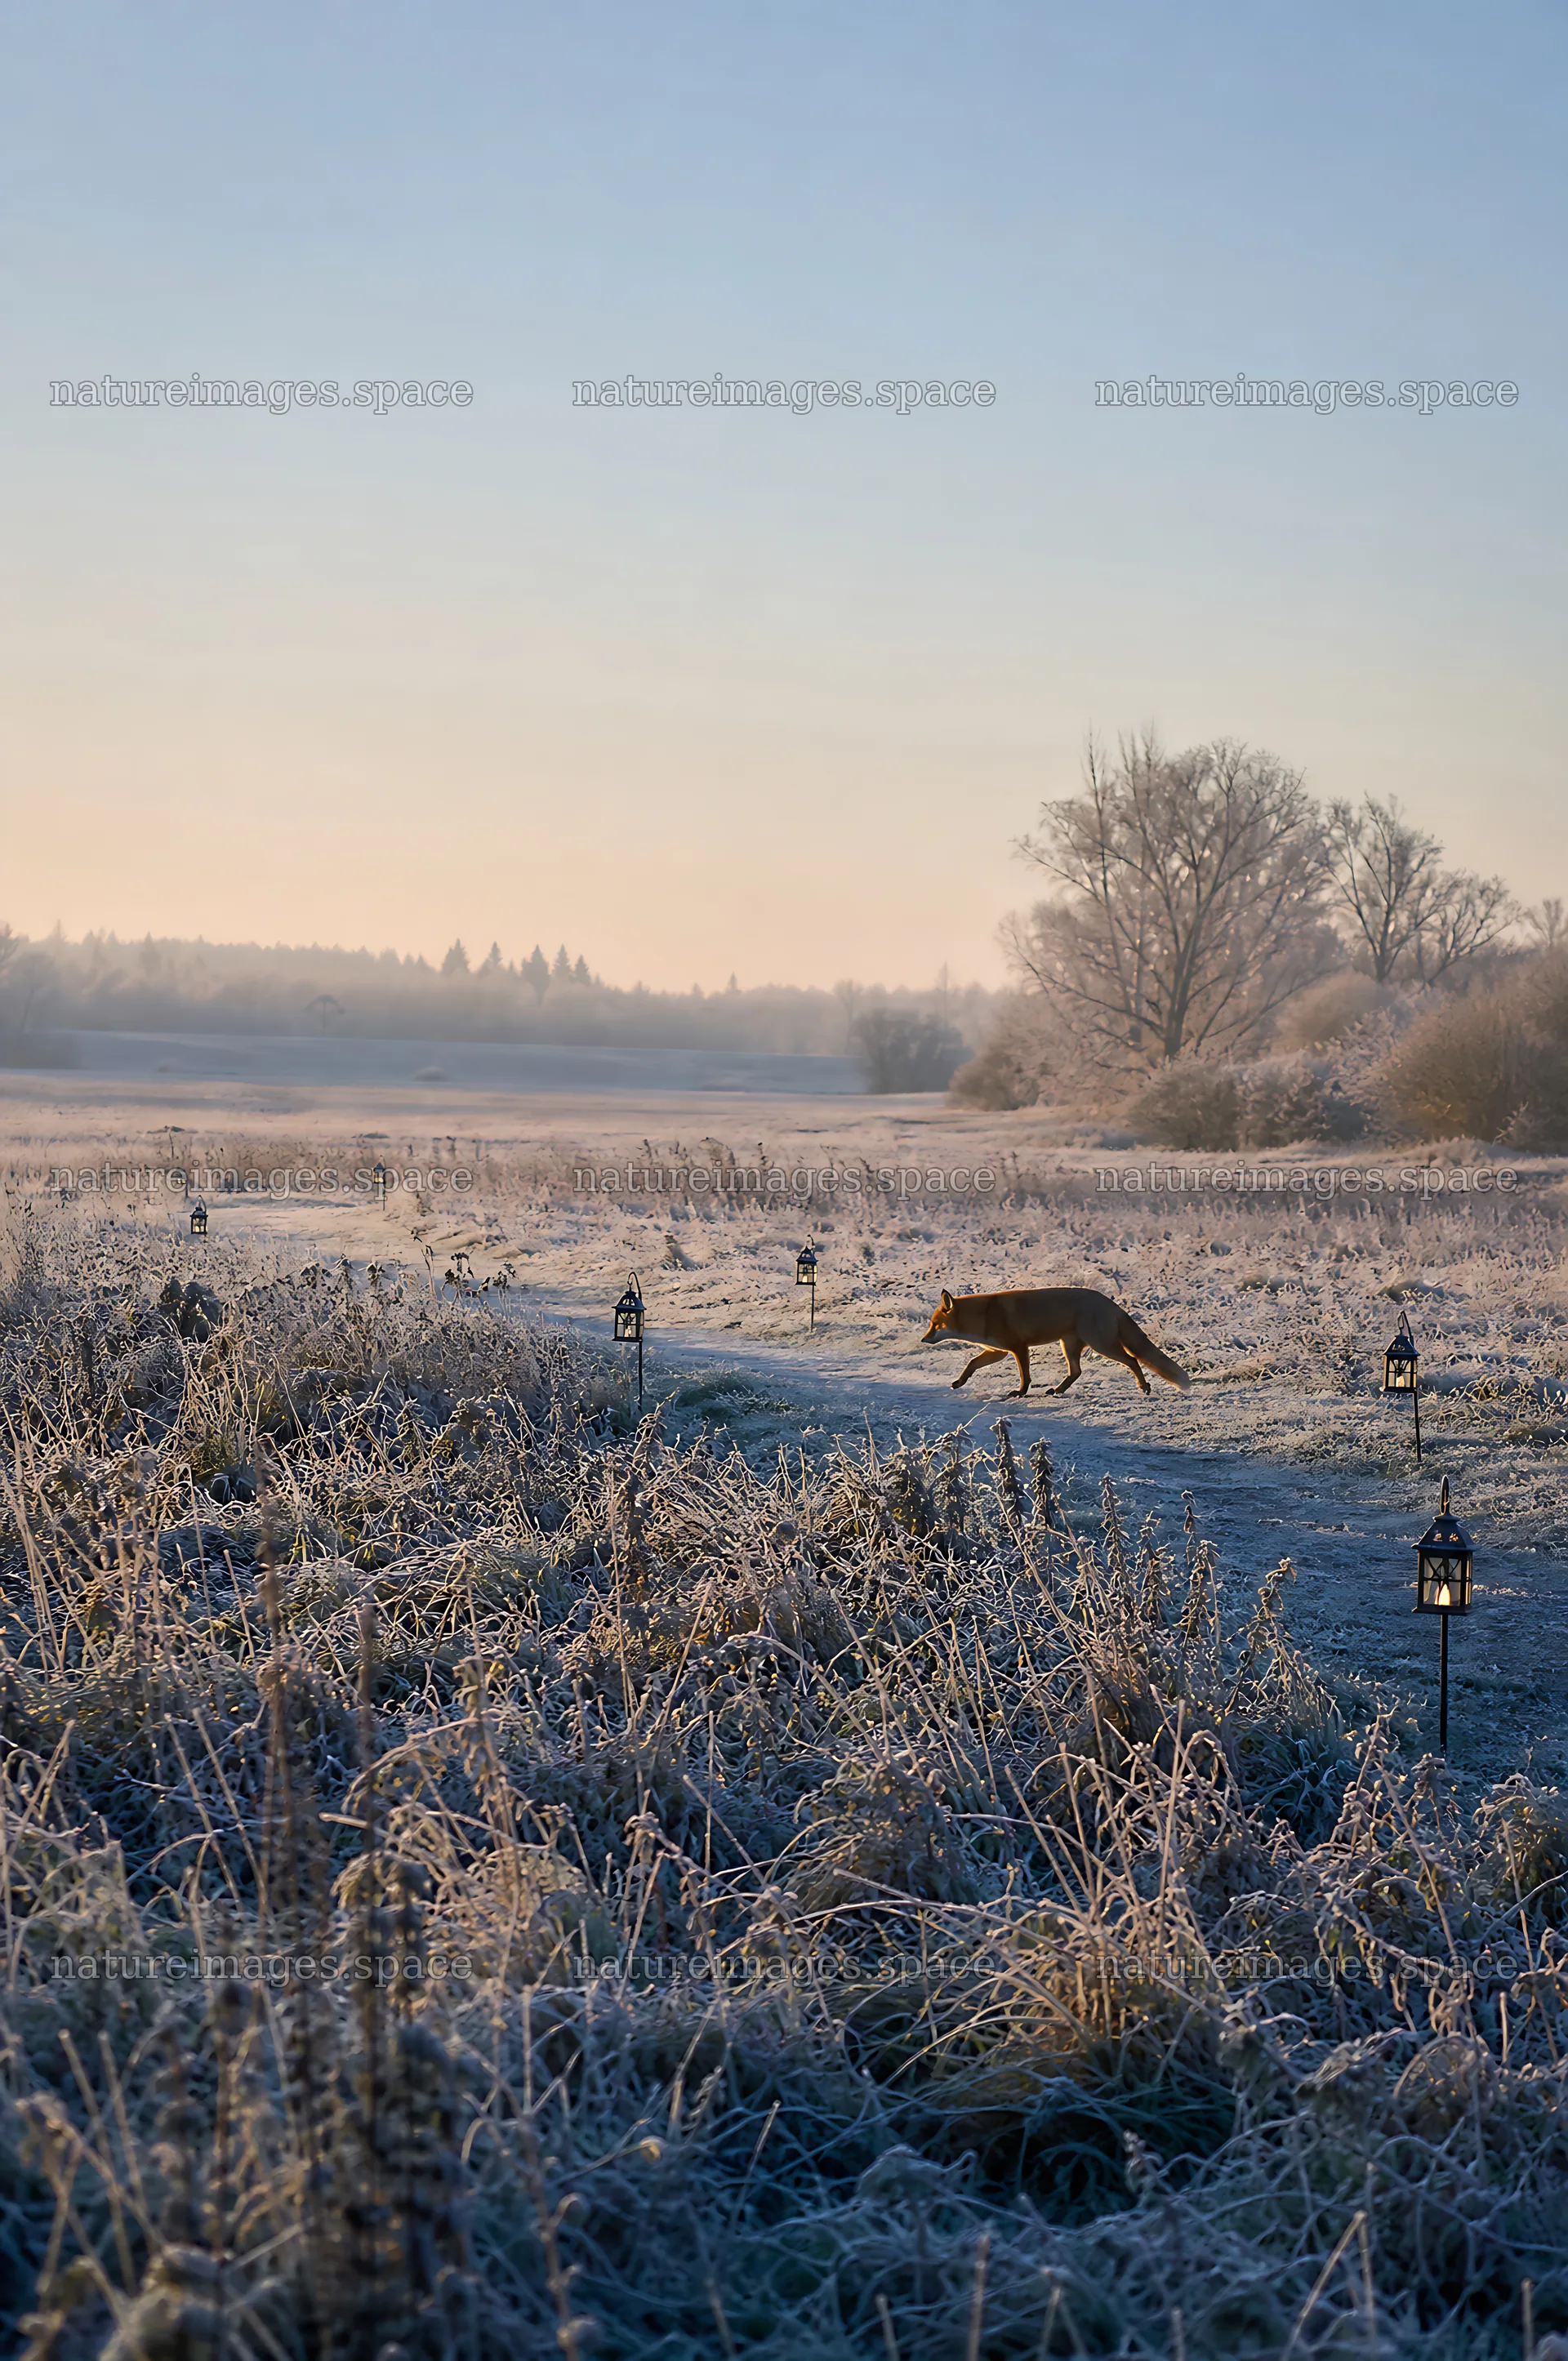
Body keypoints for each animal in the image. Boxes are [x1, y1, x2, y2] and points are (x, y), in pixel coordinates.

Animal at [921, 1285, 1190, 1399]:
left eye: (935, 1326)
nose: (923, 1339)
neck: (984, 1316)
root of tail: (1109, 1302)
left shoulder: (1018, 1347)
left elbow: (1025, 1376)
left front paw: (1020, 1393)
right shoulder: (997, 1351)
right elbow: (971, 1365)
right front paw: (959, 1382)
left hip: (1101, 1345)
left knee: (1133, 1360)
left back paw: (1143, 1386)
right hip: (1069, 1345)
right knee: (1076, 1372)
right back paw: (1058, 1390)